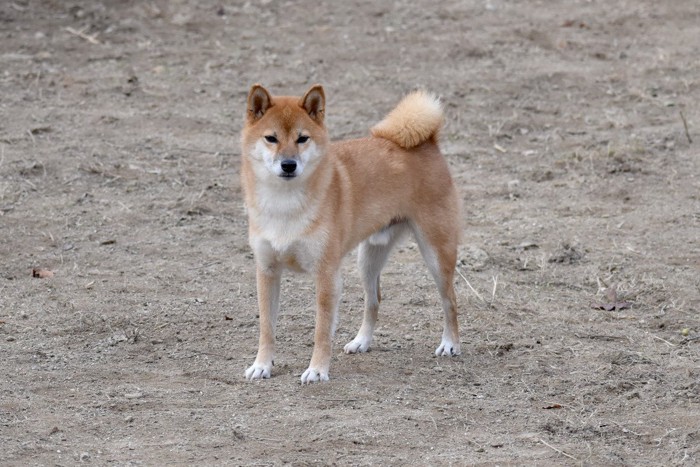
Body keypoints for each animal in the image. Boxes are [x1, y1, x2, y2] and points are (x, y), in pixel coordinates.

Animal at [241, 84, 460, 384]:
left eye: (302, 139)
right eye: (271, 138)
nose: (288, 164)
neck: (285, 204)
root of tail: (428, 142)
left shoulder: (326, 274)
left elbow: (321, 330)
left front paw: (317, 370)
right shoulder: (267, 271)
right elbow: (267, 327)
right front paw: (262, 365)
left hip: (436, 254)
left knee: (450, 301)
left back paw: (450, 344)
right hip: (367, 260)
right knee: (374, 301)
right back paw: (361, 342)